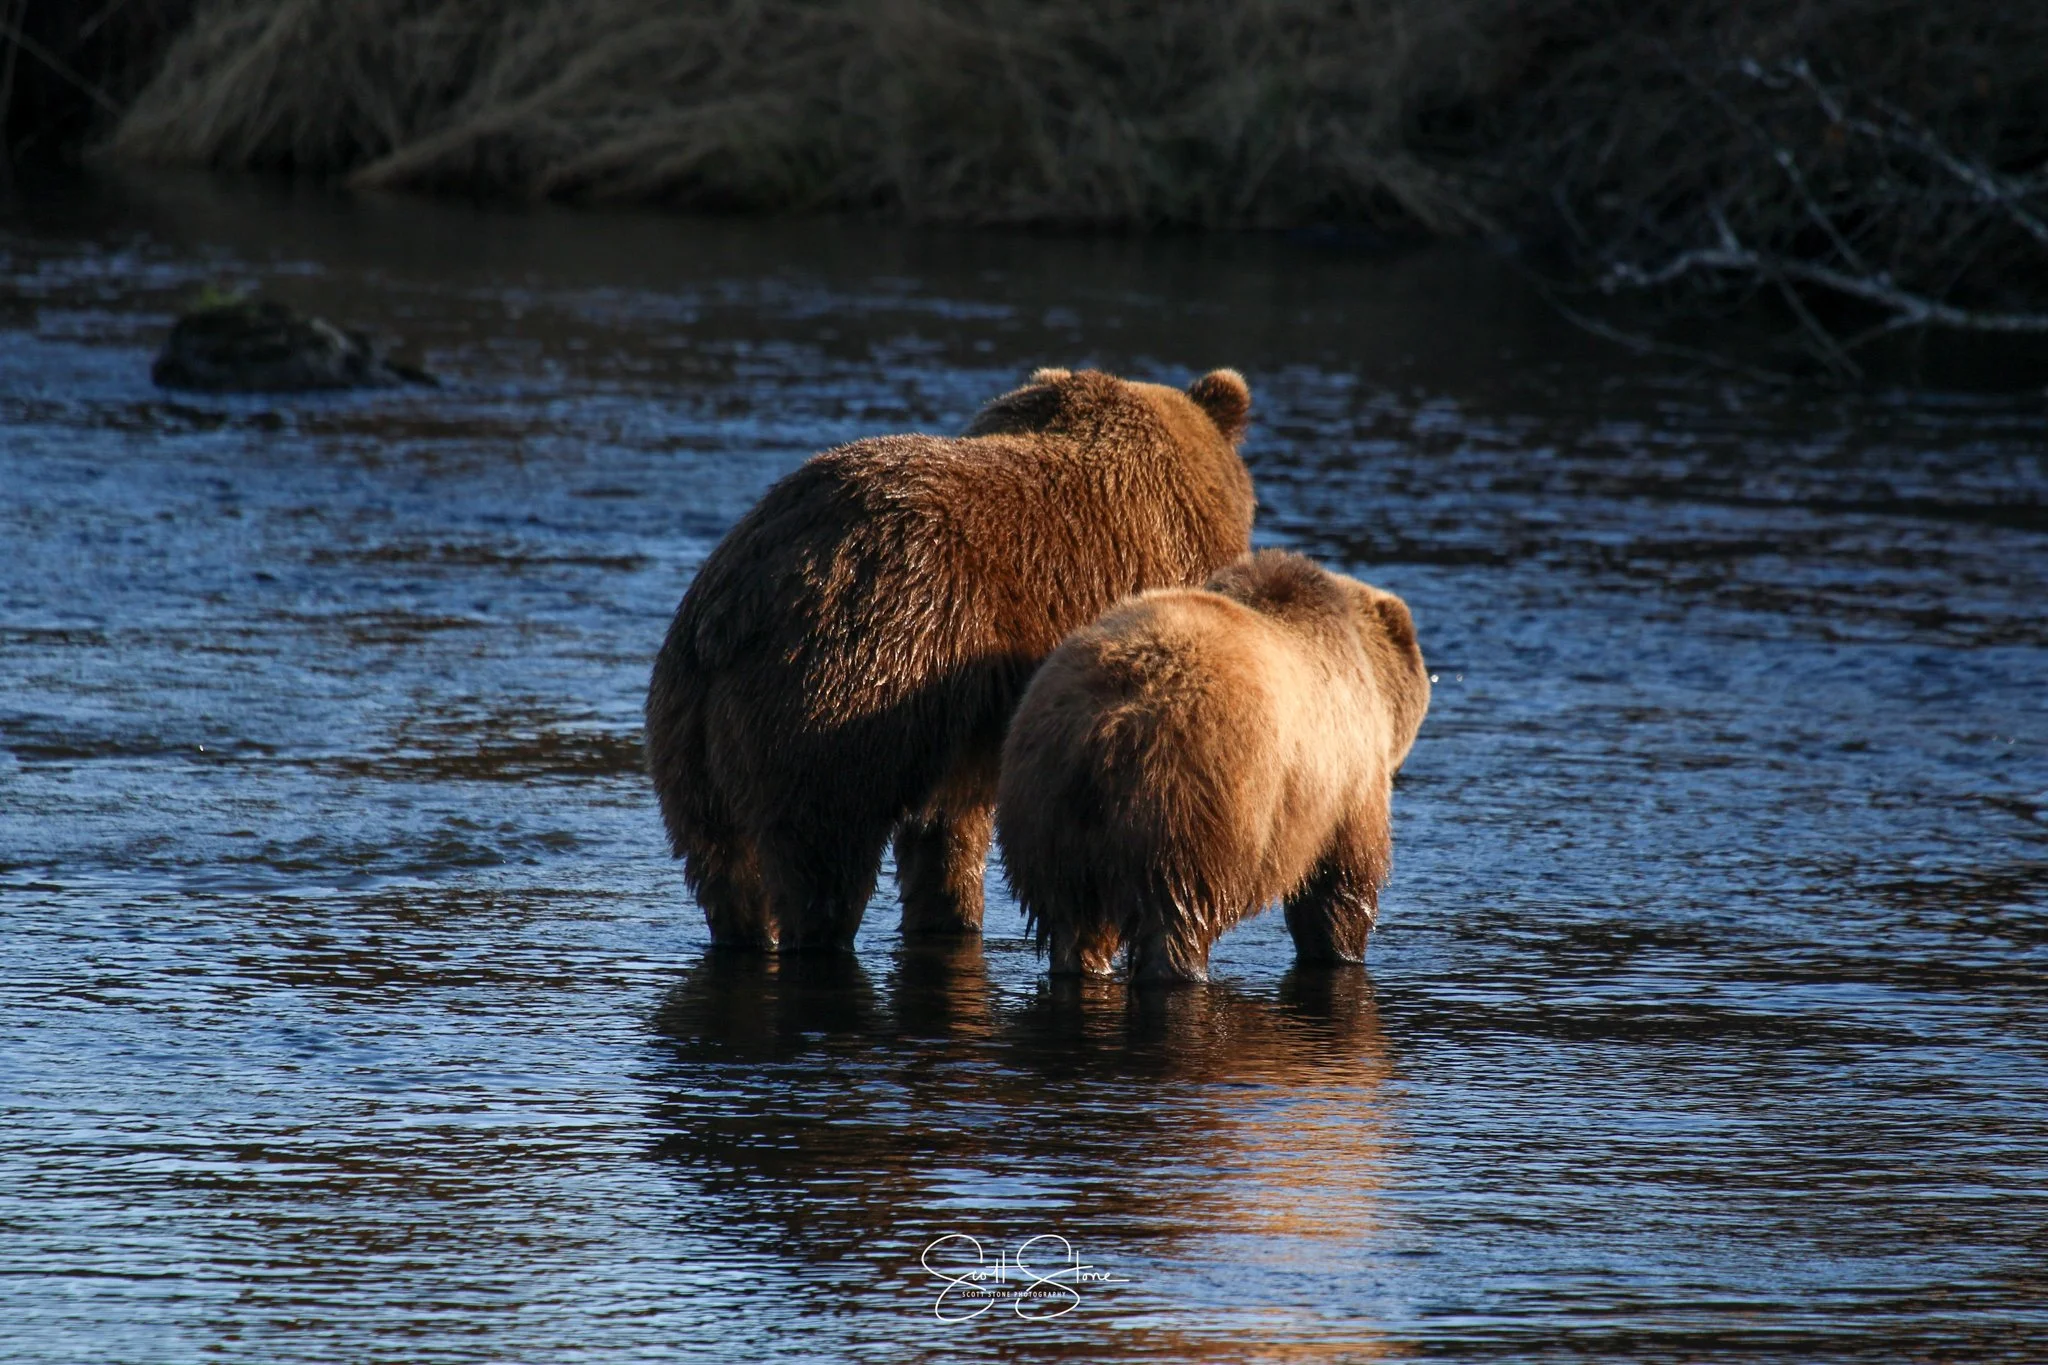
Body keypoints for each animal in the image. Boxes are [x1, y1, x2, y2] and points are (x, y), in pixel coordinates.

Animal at [646, 367, 1257, 952]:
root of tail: (736, 606)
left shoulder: (966, 732)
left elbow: (946, 832)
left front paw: (949, 915)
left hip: (691, 729)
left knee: (723, 864)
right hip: (847, 681)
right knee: (825, 846)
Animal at [995, 549, 1429, 984]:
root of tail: (1104, 723)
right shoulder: (1345, 779)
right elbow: (1340, 883)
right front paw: (1340, 950)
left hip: (1044, 802)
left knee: (1069, 914)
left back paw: (1083, 965)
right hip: (1188, 795)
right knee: (1179, 912)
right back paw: (1184, 971)